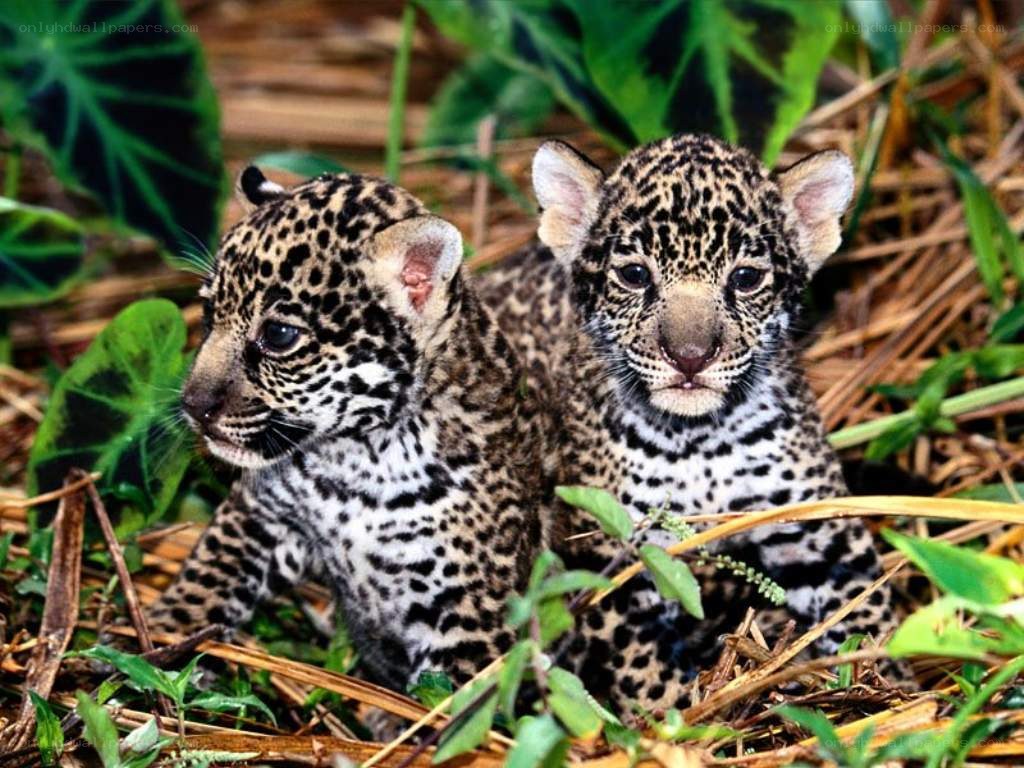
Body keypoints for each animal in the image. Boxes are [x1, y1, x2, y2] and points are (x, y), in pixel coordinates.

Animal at [147, 167, 551, 692]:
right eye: (210, 313)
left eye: (279, 336)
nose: (193, 406)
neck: (356, 463)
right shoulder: (257, 514)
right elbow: (207, 574)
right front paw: (157, 638)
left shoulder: (468, 618)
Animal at [478, 134, 899, 711]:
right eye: (635, 275)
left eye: (745, 279)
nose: (690, 357)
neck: (700, 442)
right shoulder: (616, 555)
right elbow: (647, 670)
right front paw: (680, 718)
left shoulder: (818, 528)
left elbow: (864, 609)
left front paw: (895, 687)